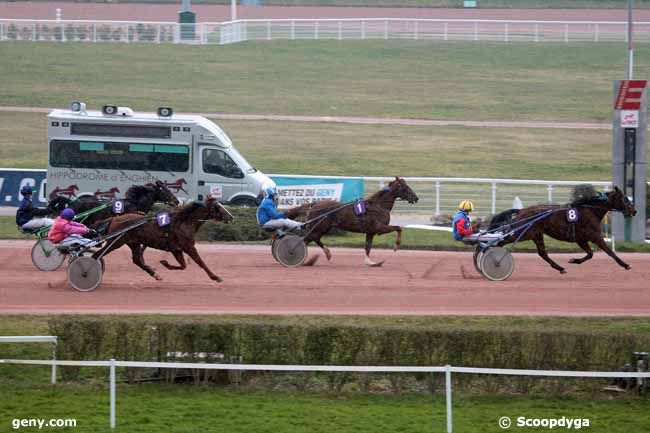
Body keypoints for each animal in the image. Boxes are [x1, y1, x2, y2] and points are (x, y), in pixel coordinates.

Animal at [91, 195, 233, 280]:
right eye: (217, 206)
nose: (231, 217)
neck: (184, 222)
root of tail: (113, 219)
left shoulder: (176, 249)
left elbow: (183, 265)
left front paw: (165, 263)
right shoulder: (188, 247)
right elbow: (200, 262)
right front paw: (215, 277)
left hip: (133, 242)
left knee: (136, 260)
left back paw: (154, 274)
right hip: (116, 242)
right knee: (96, 255)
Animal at [284, 176, 418, 264]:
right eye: (405, 187)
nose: (416, 198)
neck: (379, 205)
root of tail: (314, 204)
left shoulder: (370, 231)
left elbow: (368, 247)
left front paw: (370, 262)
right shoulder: (379, 227)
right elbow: (398, 228)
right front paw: (396, 246)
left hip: (322, 227)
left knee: (313, 238)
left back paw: (326, 254)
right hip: (320, 227)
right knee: (306, 239)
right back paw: (295, 255)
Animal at [494, 186, 636, 274]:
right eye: (625, 198)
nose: (634, 211)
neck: (590, 210)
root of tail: (522, 211)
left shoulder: (581, 239)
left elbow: (590, 254)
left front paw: (574, 260)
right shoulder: (595, 236)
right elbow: (609, 252)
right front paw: (625, 265)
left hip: (536, 234)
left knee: (543, 253)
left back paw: (560, 268)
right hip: (524, 234)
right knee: (501, 241)